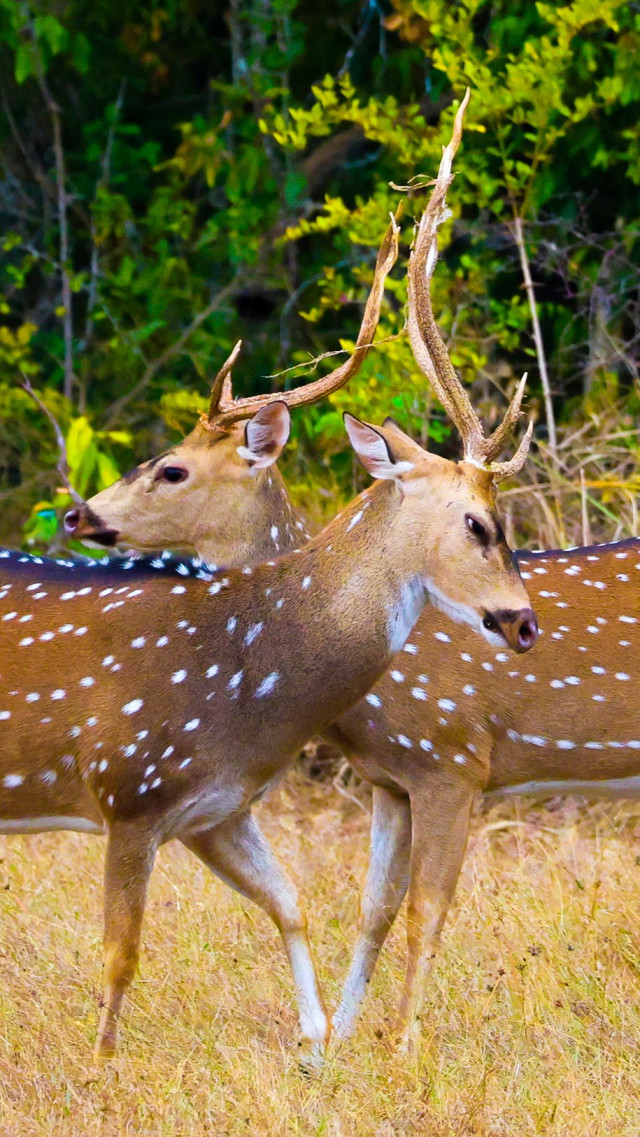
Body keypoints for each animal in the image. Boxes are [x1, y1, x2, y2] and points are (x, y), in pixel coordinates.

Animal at [1, 139, 538, 1059]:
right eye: (477, 522)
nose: (525, 619)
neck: (246, 676)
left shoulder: (214, 808)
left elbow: (292, 903)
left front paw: (317, 1044)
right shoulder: (127, 784)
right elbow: (120, 955)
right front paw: (102, 1066)